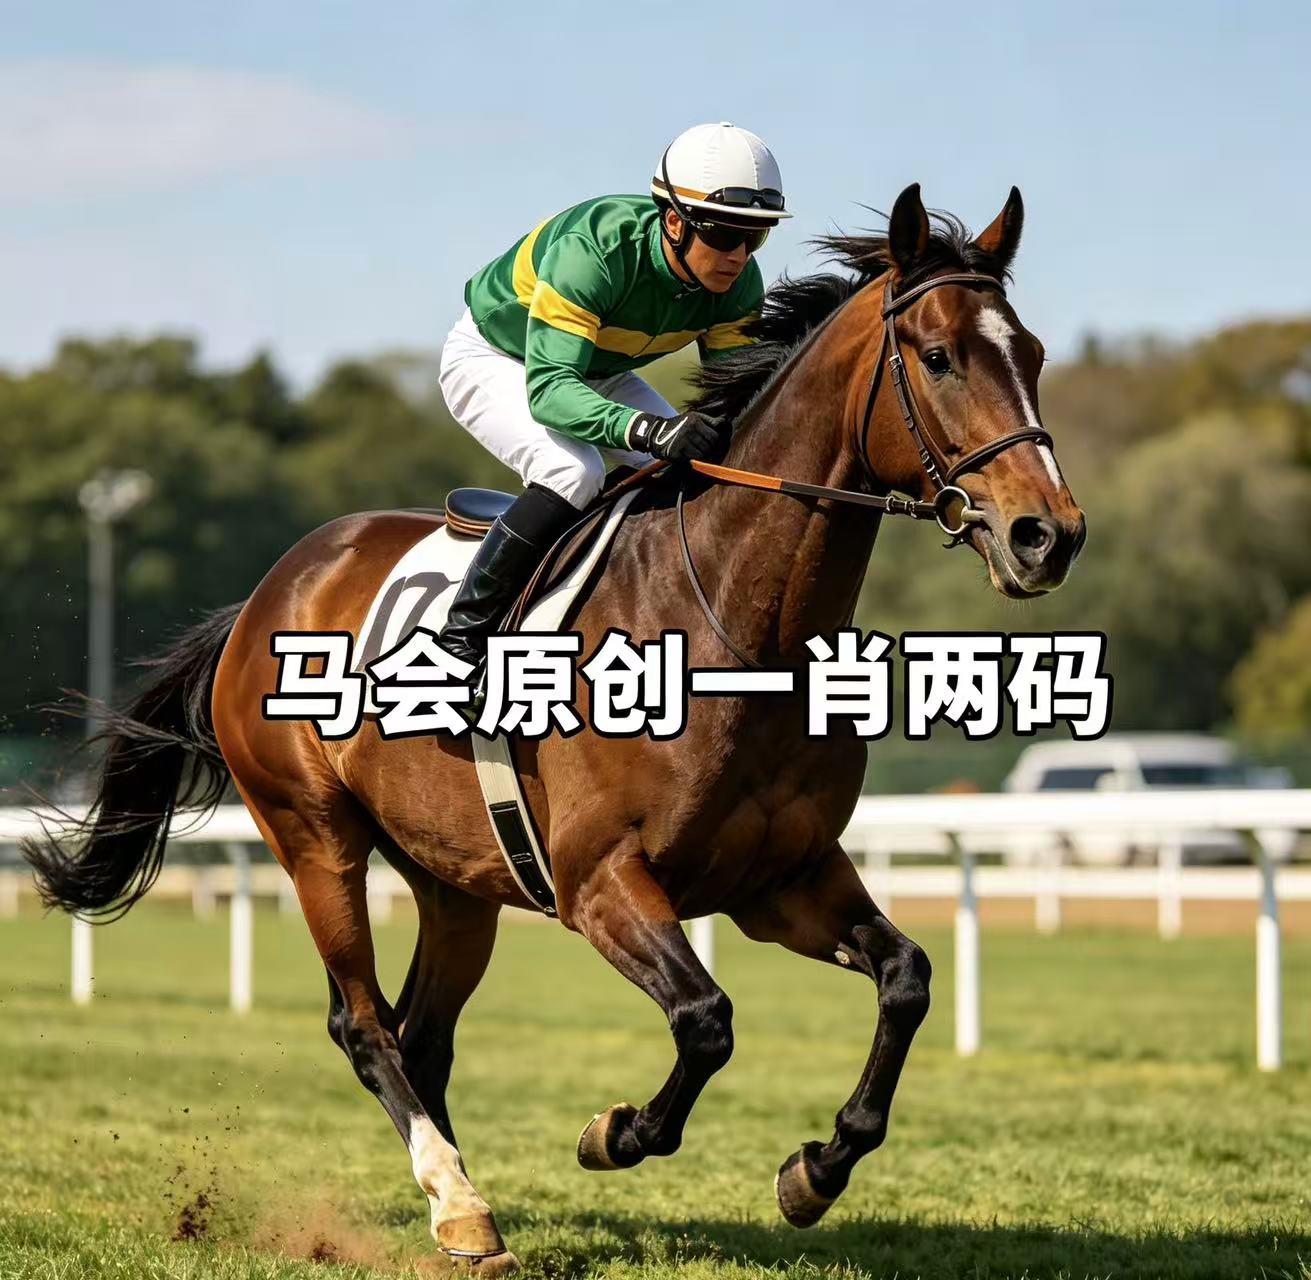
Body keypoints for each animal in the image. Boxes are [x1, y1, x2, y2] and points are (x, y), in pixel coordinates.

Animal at [26, 183, 1084, 1274]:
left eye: (1033, 351)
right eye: (938, 355)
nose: (1045, 534)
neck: (734, 624)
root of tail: (265, 594)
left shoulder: (781, 878)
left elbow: (906, 979)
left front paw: (816, 1168)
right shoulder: (599, 879)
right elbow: (707, 1019)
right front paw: (615, 1131)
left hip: (456, 876)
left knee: (423, 1035)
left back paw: (459, 1197)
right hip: (312, 833)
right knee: (363, 1024)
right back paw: (458, 1202)